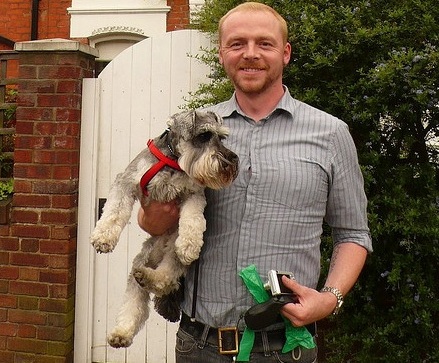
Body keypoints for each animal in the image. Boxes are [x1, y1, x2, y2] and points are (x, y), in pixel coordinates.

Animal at [90, 110, 239, 350]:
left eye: (222, 137)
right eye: (204, 135)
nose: (232, 158)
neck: (174, 163)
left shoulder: (193, 195)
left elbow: (193, 219)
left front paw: (190, 244)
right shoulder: (127, 181)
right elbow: (114, 210)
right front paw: (103, 237)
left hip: (171, 256)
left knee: (167, 278)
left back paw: (153, 276)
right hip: (141, 261)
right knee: (135, 302)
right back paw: (121, 332)